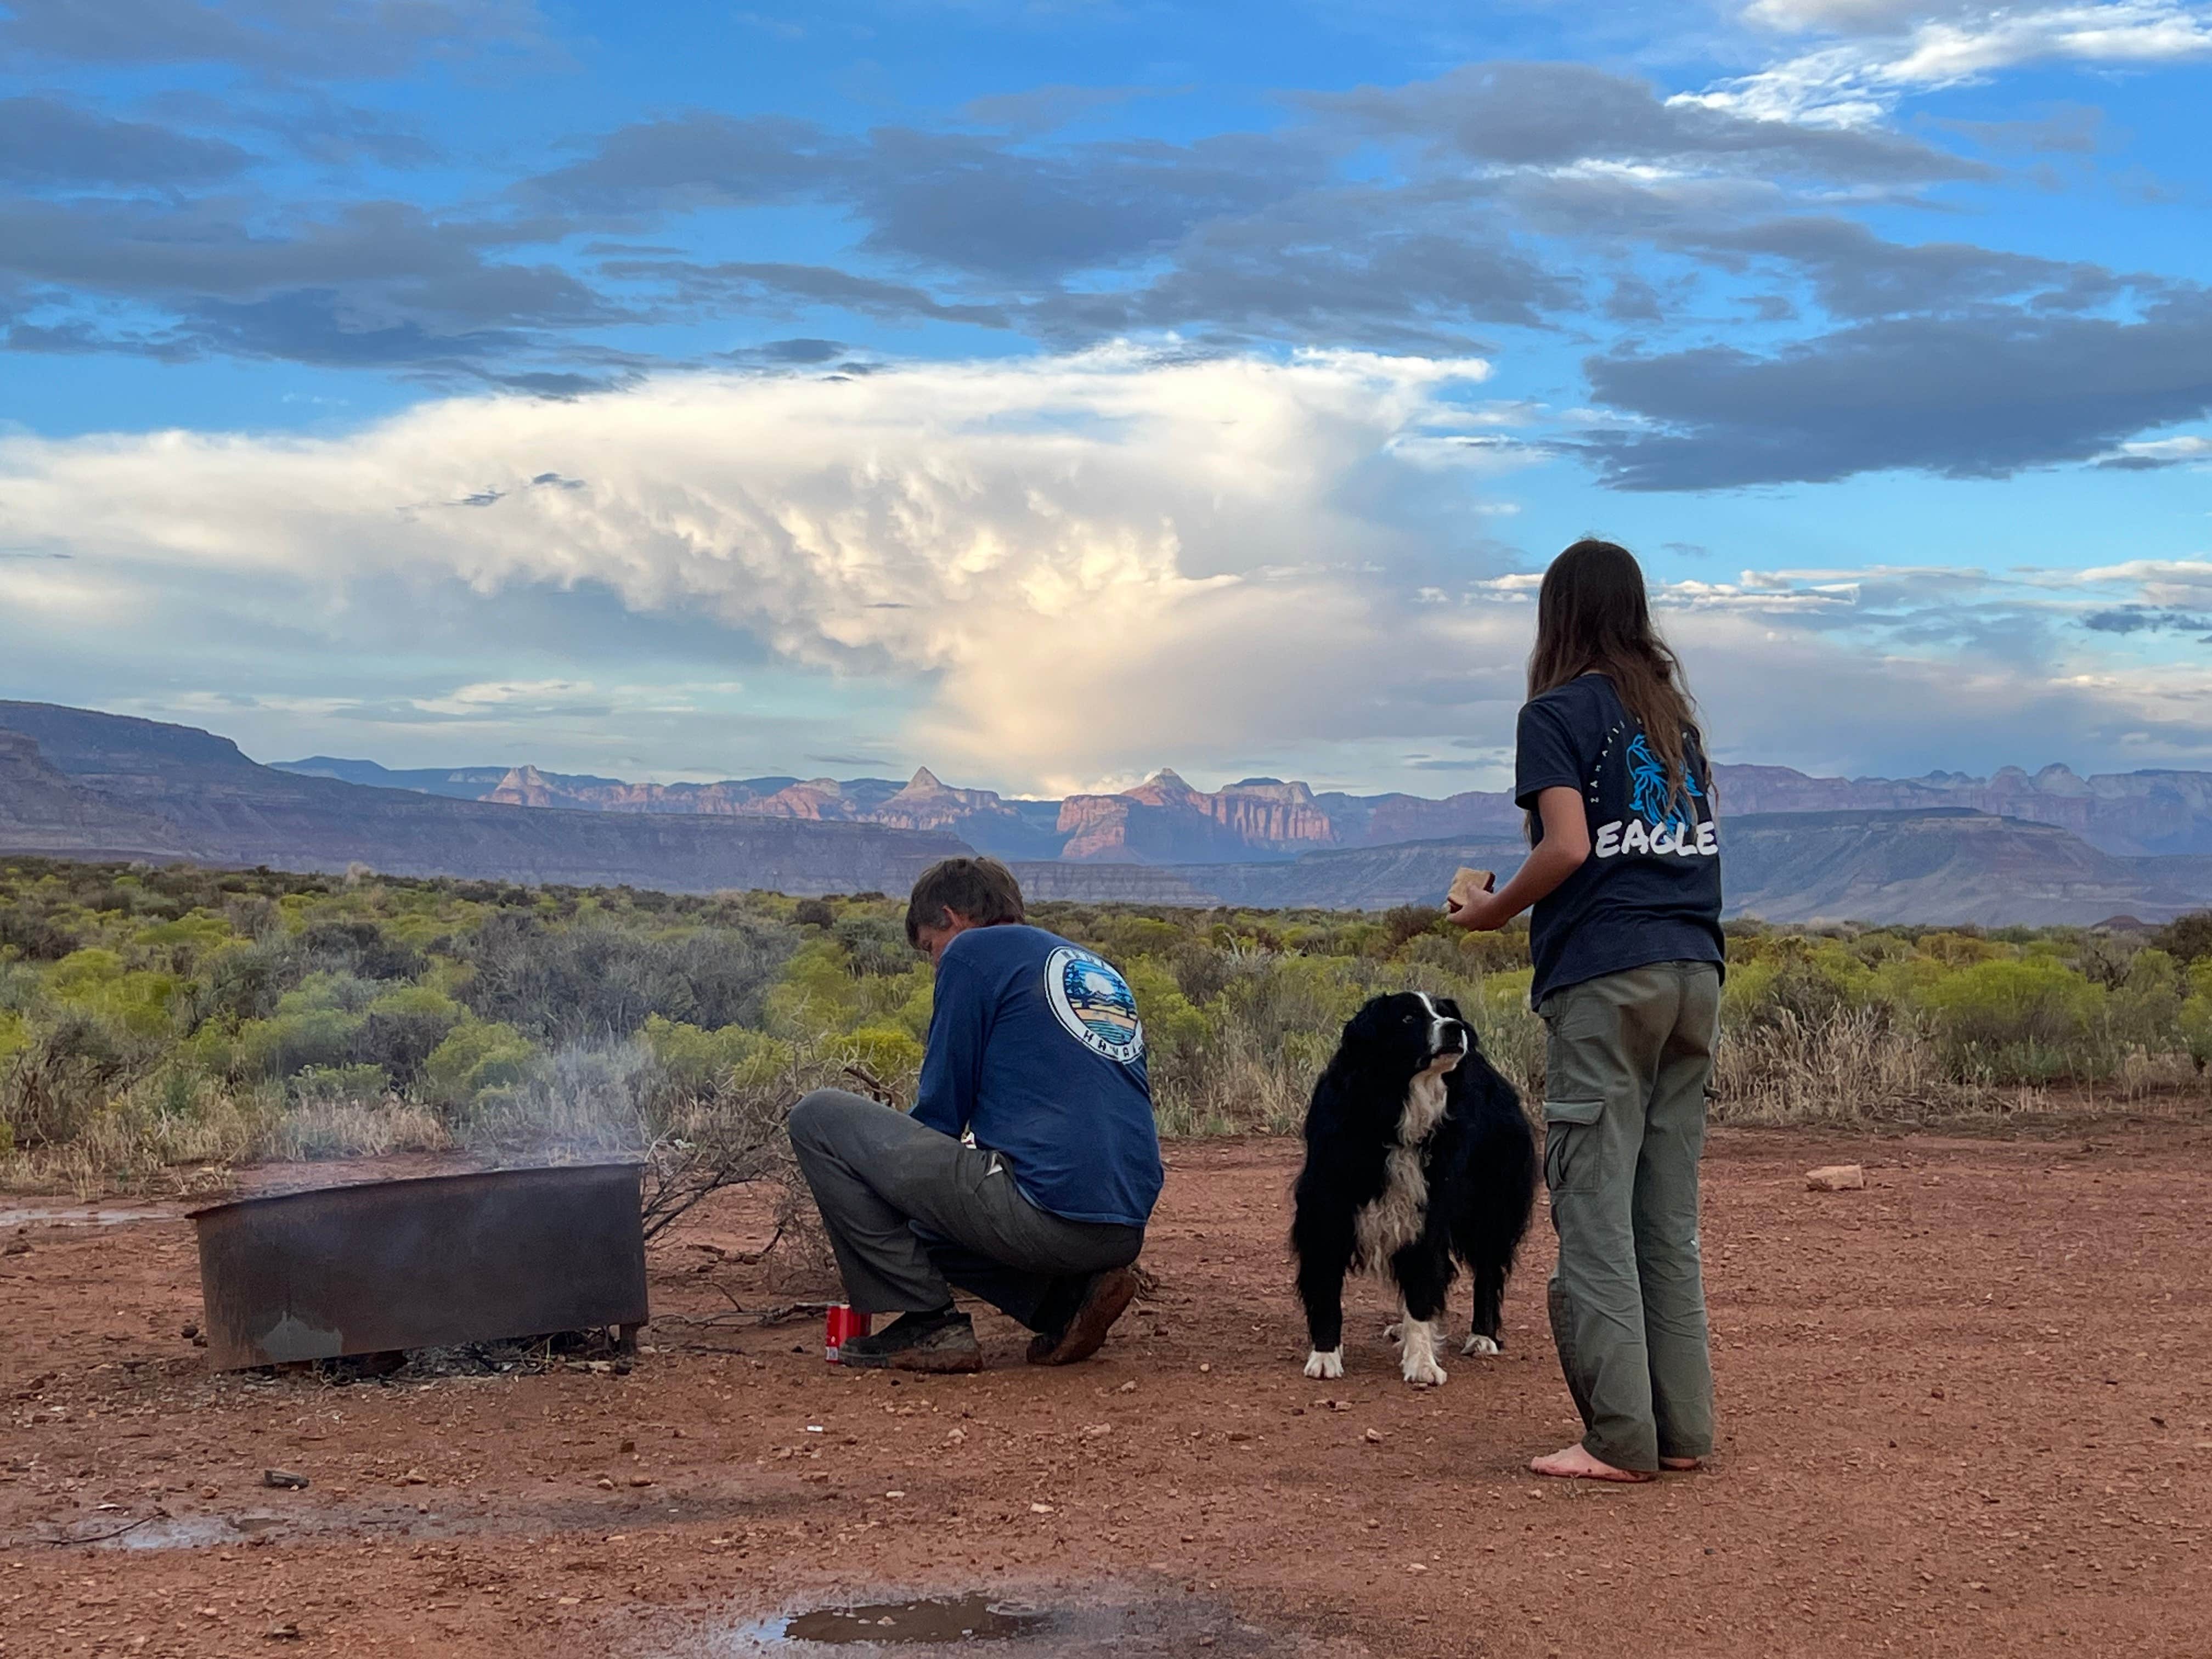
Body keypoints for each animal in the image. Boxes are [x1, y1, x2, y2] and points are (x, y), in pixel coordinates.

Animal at [1291, 986, 1539, 1389]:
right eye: (1408, 1018)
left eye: (1442, 1012)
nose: (1456, 1028)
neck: (1395, 1109)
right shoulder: (1326, 1208)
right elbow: (1326, 1287)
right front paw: (1326, 1355)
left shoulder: (1429, 1211)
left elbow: (1423, 1289)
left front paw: (1422, 1363)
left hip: (1492, 1205)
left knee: (1488, 1271)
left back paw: (1481, 1337)